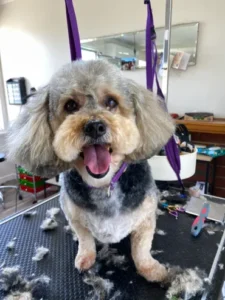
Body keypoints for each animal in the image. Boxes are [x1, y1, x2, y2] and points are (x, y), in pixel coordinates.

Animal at [7, 59, 174, 282]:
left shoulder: (145, 219)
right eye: (70, 105)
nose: (95, 126)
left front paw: (150, 269)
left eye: (111, 102)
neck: (104, 186)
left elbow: (141, 248)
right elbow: (86, 239)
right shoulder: (75, 217)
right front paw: (85, 258)